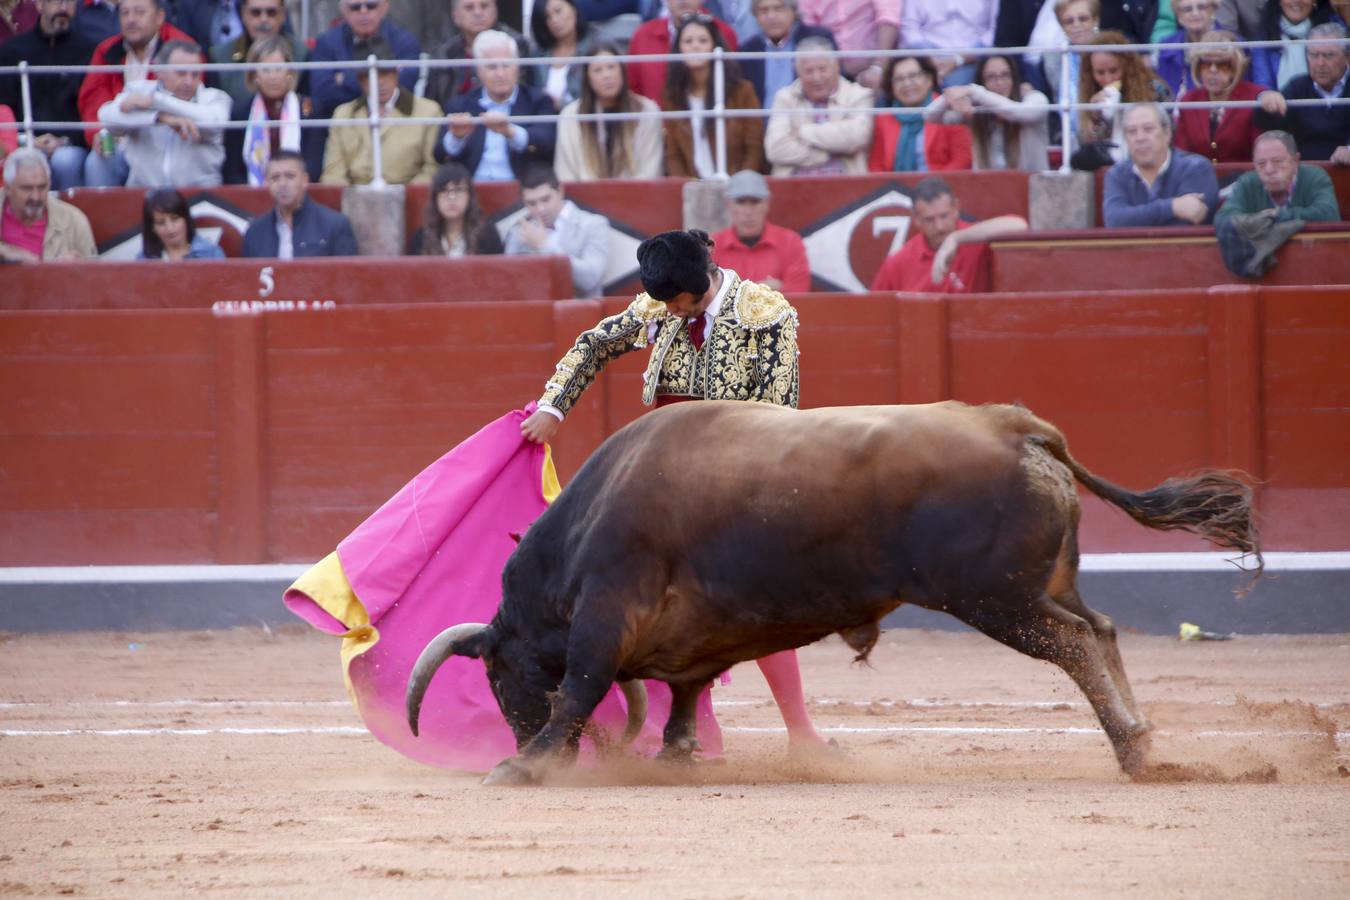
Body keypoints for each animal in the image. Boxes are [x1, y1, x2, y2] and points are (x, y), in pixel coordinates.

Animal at [405, 404, 1258, 782]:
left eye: (495, 676)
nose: (512, 731)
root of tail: (1019, 427)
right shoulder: (690, 638)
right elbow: (685, 692)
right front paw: (678, 755)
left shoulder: (606, 612)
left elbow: (582, 687)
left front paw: (525, 765)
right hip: (1043, 586)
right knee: (1103, 629)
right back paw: (1142, 740)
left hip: (995, 600)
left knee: (1077, 645)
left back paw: (1132, 751)